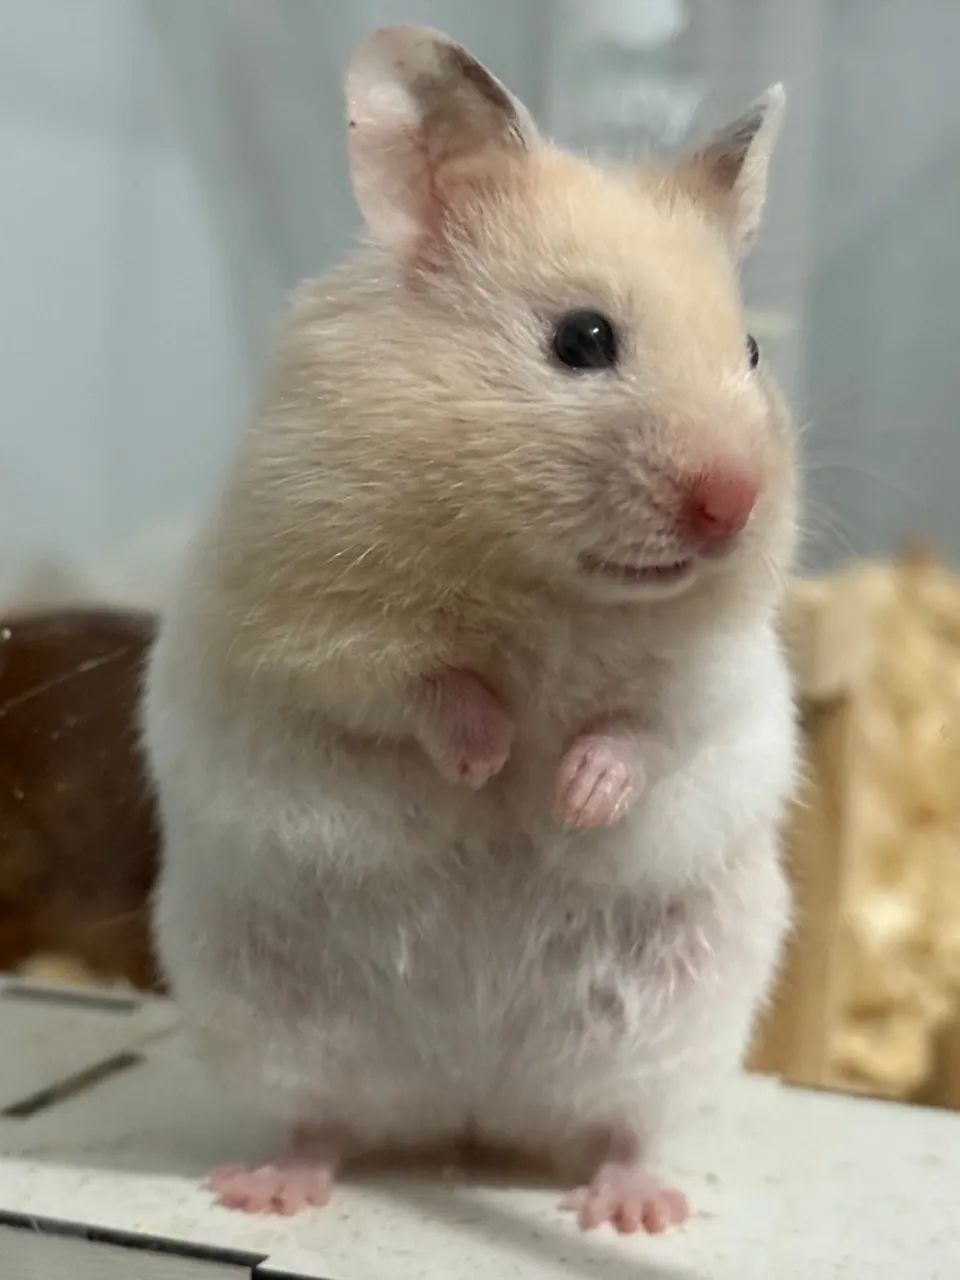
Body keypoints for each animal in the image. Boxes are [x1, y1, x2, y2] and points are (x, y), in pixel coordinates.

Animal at [143, 25, 797, 1232]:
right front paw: (488, 760)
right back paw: (268, 1189)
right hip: (265, 1014)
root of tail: (470, 1108)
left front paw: (571, 796)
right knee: (322, 1122)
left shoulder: (720, 685)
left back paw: (633, 1208)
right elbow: (416, 686)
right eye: (582, 339)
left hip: (674, 1024)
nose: (733, 505)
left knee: (621, 1129)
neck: (543, 581)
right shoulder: (293, 617)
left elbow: (645, 731)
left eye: (751, 353)